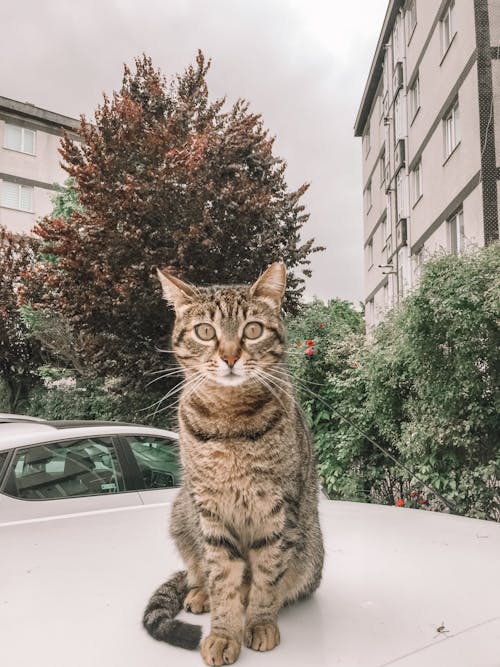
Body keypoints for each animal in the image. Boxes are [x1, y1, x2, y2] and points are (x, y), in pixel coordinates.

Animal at [143, 264, 326, 667]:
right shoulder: (209, 510)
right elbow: (222, 576)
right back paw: (199, 593)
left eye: (253, 330)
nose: (229, 357)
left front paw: (259, 622)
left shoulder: (277, 510)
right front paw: (224, 633)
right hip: (182, 510)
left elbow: (266, 576)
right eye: (205, 331)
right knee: (198, 571)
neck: (229, 421)